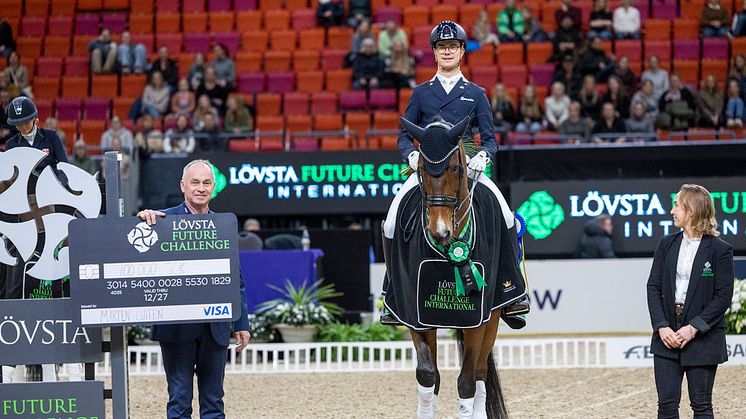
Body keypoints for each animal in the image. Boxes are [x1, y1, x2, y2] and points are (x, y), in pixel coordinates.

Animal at [380, 118, 516, 419]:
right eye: (420, 168)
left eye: (456, 167)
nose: (439, 231)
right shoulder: (416, 314)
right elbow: (428, 375)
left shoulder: (478, 317)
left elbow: (467, 381)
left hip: (495, 314)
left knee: (480, 373)